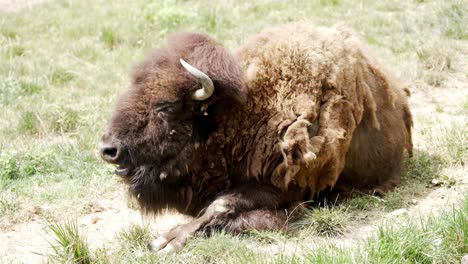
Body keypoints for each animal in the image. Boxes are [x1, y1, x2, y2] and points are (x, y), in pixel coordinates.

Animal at [99, 23, 414, 253]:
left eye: (166, 107)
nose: (108, 149)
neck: (241, 116)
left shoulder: (282, 187)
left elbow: (221, 205)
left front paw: (166, 241)